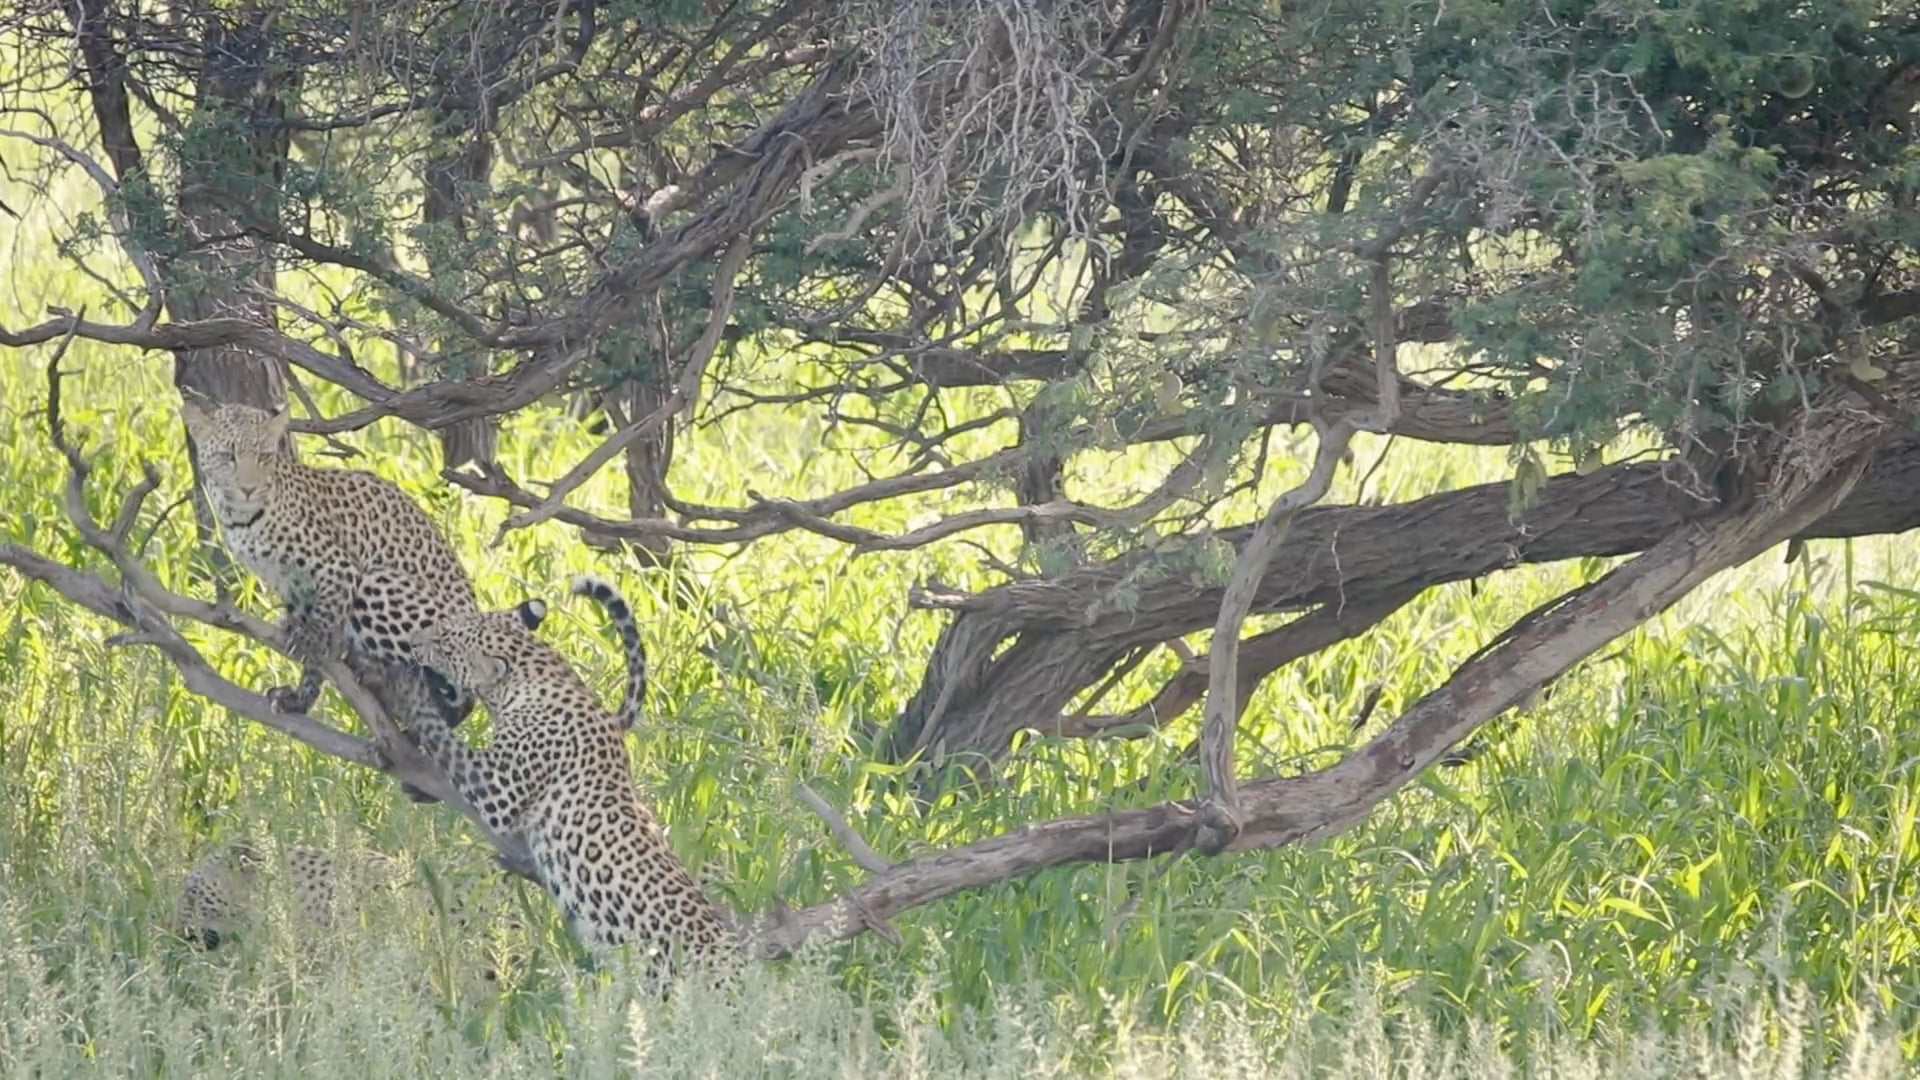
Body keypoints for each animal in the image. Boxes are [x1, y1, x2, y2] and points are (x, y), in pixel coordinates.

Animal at [179, 397, 507, 726]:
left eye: (263, 457)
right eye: (228, 456)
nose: (248, 488)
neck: (240, 517)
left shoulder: (336, 566)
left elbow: (326, 616)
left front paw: (309, 640)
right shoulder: (294, 585)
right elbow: (316, 651)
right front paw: (300, 698)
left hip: (379, 584)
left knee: (458, 689)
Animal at [402, 581, 739, 988]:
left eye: (444, 641)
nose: (413, 643)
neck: (535, 673)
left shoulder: (499, 789)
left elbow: (449, 746)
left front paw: (416, 703)